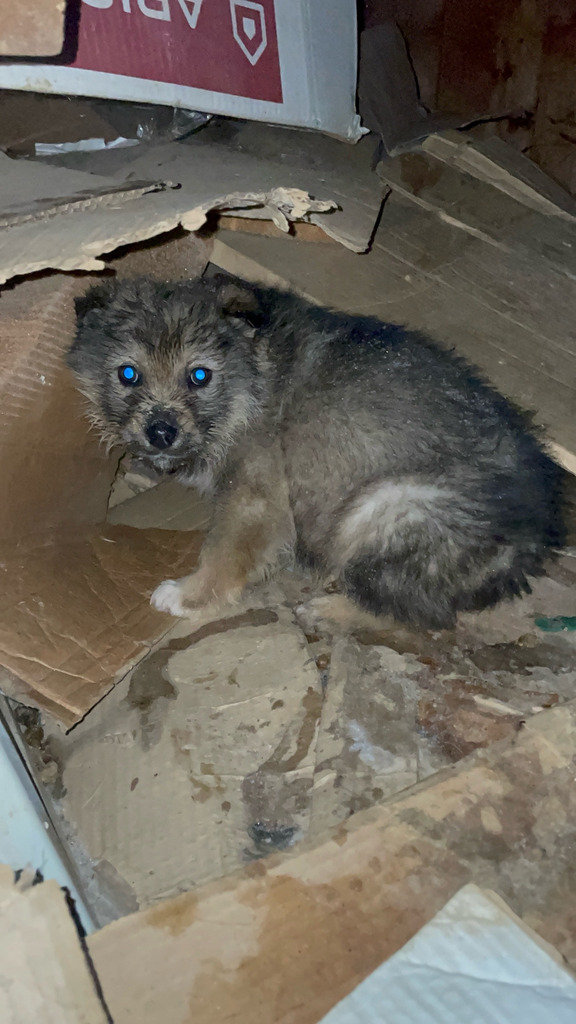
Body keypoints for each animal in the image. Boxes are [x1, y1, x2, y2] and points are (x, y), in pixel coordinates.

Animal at [68, 274, 565, 631]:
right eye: (128, 374)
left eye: (200, 376)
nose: (160, 432)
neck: (249, 384)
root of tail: (532, 542)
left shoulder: (256, 497)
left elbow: (222, 551)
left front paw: (190, 594)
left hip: (385, 509)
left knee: (422, 619)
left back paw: (328, 611)